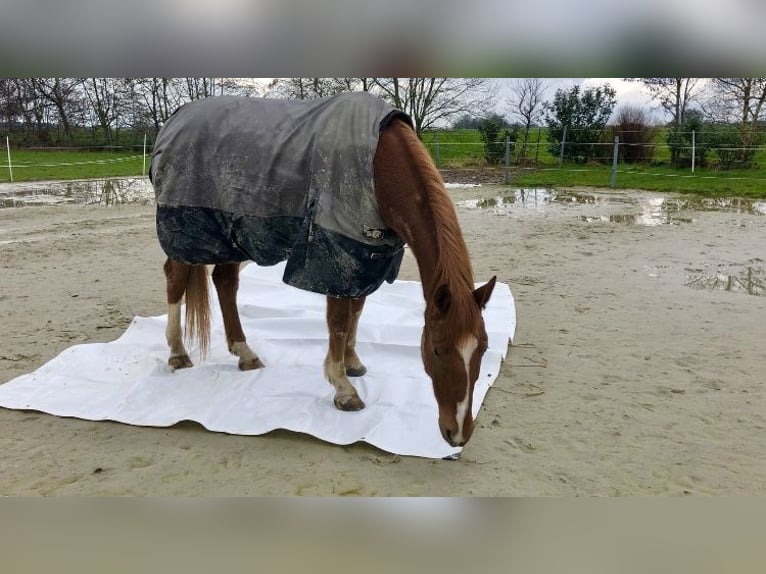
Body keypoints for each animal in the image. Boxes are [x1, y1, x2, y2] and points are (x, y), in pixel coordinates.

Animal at [150, 92, 498, 448]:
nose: (458, 432)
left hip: (230, 231)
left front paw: (352, 363)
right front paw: (343, 388)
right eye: (438, 350)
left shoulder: (365, 255)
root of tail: (175, 119)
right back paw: (178, 353)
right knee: (176, 278)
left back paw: (245, 353)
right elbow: (340, 322)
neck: (378, 163)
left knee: (225, 281)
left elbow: (357, 310)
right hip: (188, 229)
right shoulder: (335, 252)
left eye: (483, 348)